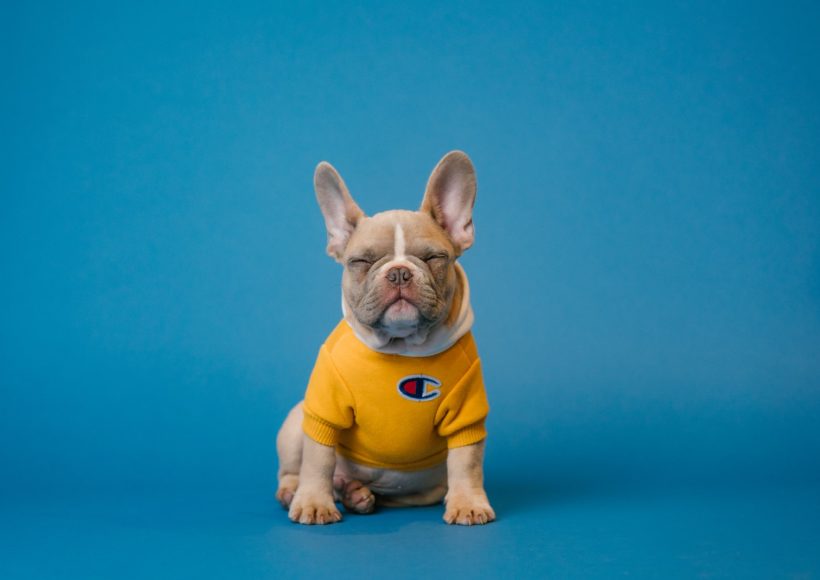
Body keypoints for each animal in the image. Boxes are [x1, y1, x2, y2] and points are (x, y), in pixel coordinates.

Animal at [276, 150, 494, 524]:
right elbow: (318, 460)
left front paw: (468, 502)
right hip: (295, 421)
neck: (402, 347)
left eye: (434, 258)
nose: (399, 272)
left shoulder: (467, 414)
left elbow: (467, 462)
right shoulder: (323, 410)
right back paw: (300, 491)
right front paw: (314, 502)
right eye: (361, 261)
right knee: (294, 469)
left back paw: (355, 493)